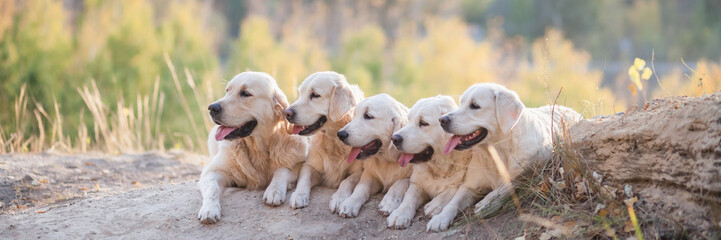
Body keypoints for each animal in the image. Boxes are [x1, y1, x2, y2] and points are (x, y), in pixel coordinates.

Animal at [198, 71, 308, 223]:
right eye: (227, 90)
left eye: (245, 93)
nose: (212, 108)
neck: (258, 148)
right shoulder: (212, 171)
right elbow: (212, 189)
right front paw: (209, 209)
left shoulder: (298, 163)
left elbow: (282, 170)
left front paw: (274, 190)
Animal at [284, 71, 366, 210]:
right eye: (301, 93)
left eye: (315, 95)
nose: (287, 113)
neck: (334, 141)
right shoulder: (310, 165)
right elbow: (304, 178)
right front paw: (299, 195)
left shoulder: (359, 171)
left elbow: (347, 181)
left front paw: (339, 198)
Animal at [436, 83, 584, 216]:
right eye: (461, 103)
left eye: (475, 106)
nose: (442, 120)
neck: (499, 151)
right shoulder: (470, 184)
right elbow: (454, 201)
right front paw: (439, 219)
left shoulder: (535, 168)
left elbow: (511, 183)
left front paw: (487, 203)